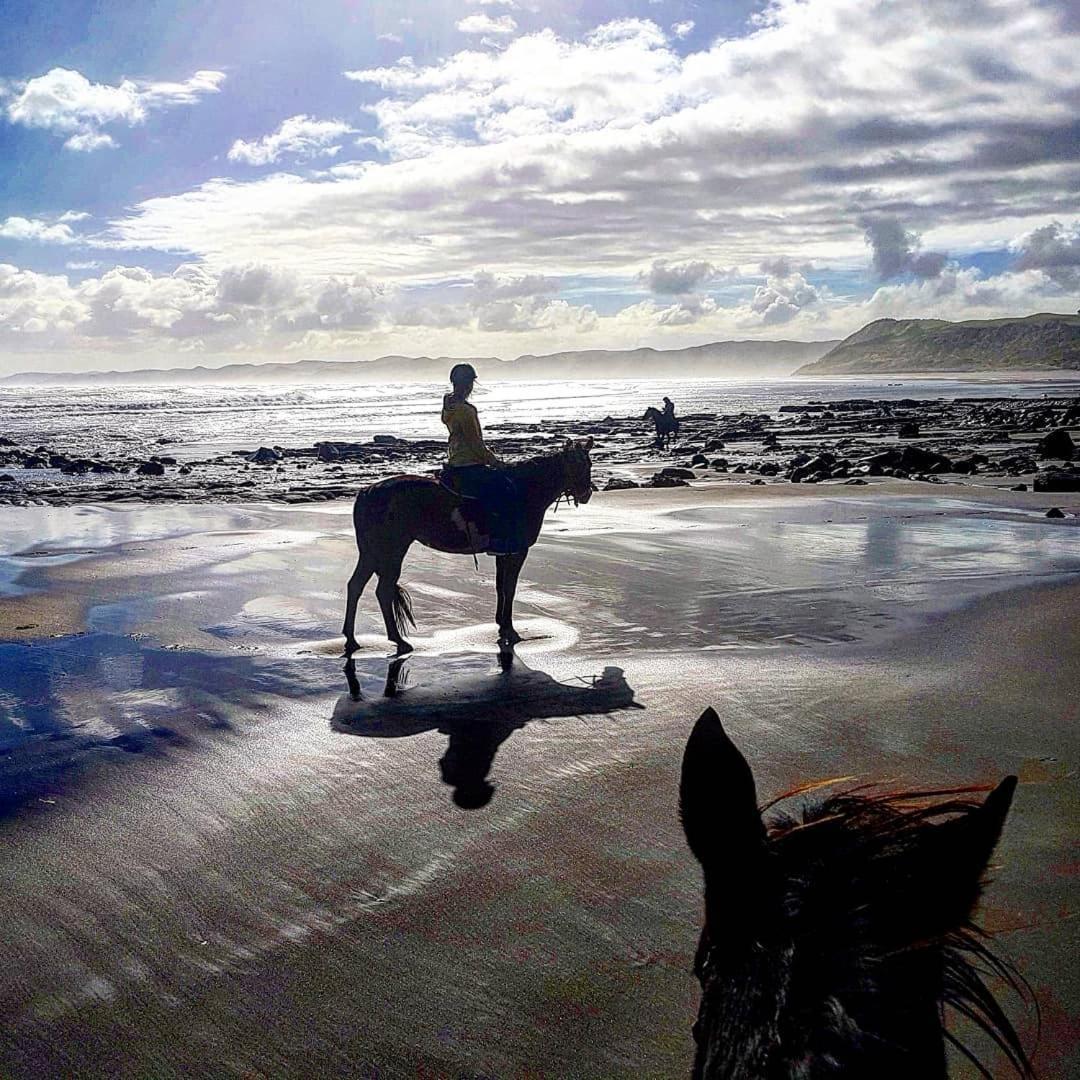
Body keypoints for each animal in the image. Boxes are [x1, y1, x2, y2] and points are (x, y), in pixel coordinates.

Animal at [341, 434, 596, 652]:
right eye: (578, 466)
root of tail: (367, 492)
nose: (585, 494)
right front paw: (509, 629)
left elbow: (501, 587)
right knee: (383, 591)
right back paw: (398, 640)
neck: (525, 491)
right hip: (392, 550)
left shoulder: (503, 553)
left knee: (355, 586)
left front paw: (502, 624)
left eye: (589, 464)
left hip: (371, 552)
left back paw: (352, 639)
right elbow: (510, 588)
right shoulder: (517, 551)